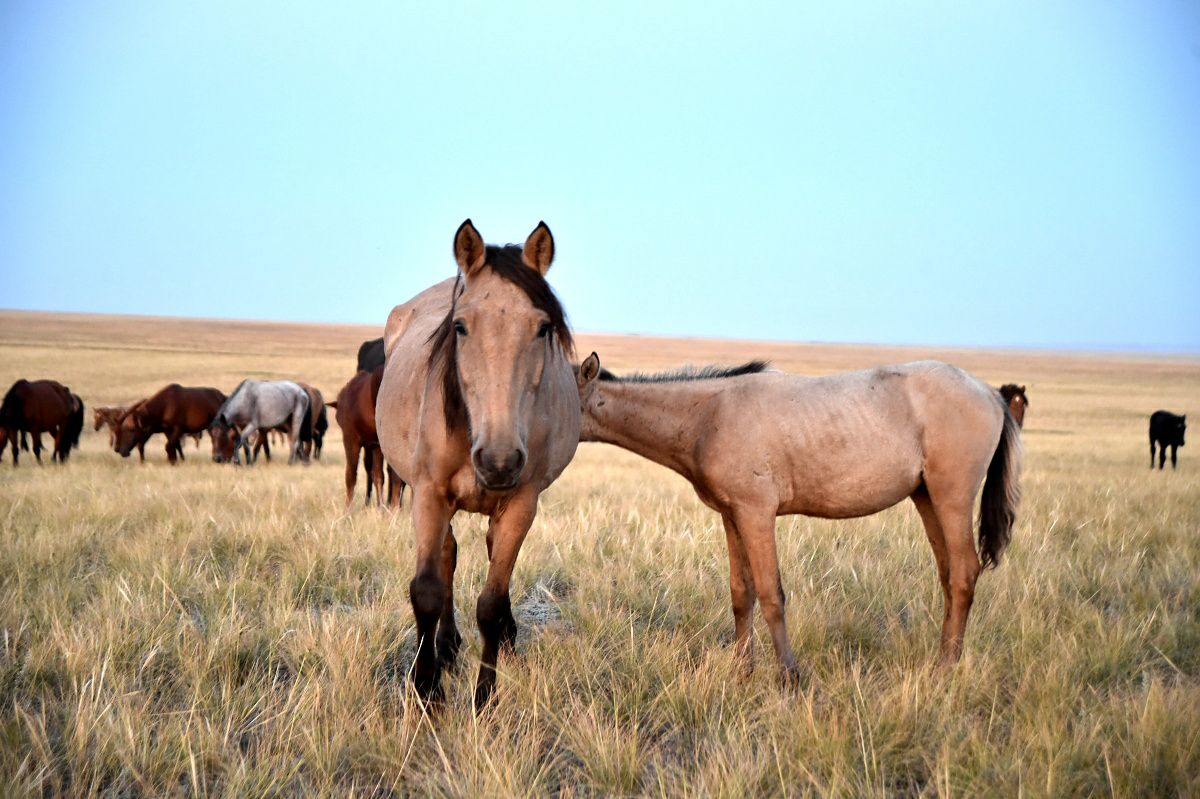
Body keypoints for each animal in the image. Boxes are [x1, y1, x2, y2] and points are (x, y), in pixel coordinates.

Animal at [331, 364, 405, 506]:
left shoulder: (351, 440)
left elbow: (351, 476)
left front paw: (347, 509)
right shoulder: (375, 446)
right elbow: (378, 475)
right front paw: (380, 507)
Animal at [374, 218, 580, 705]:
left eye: (543, 327)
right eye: (461, 326)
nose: (499, 460)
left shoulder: (522, 503)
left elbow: (490, 602)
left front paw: (485, 696)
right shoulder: (428, 494)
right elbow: (427, 590)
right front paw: (427, 689)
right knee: (447, 555)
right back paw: (446, 646)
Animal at [576, 352, 1017, 676]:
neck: (709, 414)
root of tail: (989, 393)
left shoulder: (757, 515)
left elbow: (771, 595)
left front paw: (789, 676)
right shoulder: (732, 516)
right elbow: (741, 595)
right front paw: (742, 671)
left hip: (951, 498)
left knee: (963, 572)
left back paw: (946, 668)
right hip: (926, 498)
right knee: (949, 575)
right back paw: (944, 656)